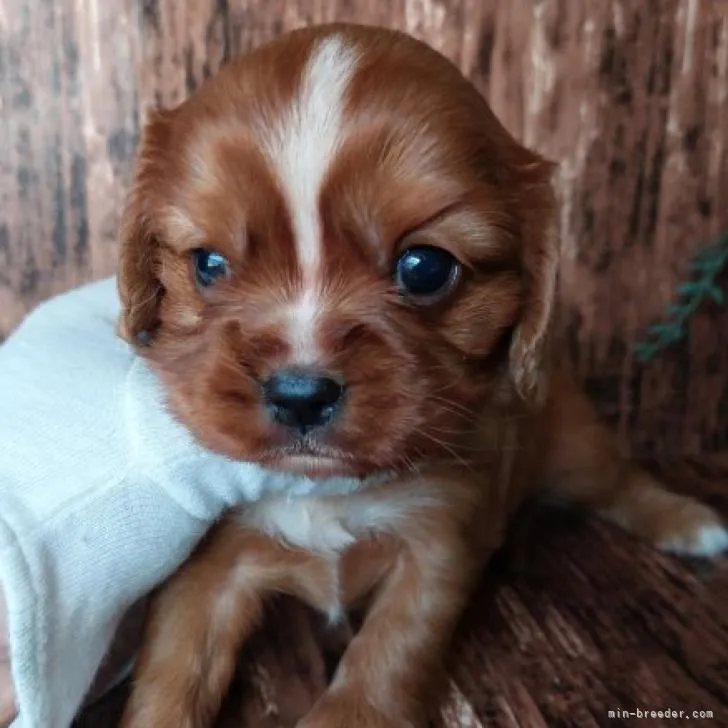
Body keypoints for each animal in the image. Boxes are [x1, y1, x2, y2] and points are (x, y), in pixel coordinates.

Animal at [116, 24, 724, 728]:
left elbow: (389, 655)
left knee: (620, 482)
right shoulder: (211, 567)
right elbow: (173, 672)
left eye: (425, 268)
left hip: (574, 445)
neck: (331, 488)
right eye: (209, 264)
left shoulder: (437, 547)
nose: (300, 394)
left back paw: (689, 522)